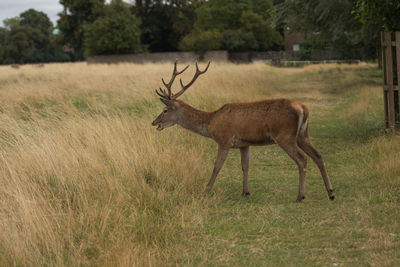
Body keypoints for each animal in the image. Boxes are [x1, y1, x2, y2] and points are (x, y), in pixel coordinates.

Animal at [152, 61, 336, 203]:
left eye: (165, 110)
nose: (154, 122)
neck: (211, 123)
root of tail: (303, 108)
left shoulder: (224, 140)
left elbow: (217, 166)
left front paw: (206, 190)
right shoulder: (244, 144)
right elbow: (245, 166)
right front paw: (245, 192)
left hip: (285, 136)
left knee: (302, 159)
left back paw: (300, 196)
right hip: (303, 134)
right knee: (318, 156)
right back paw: (331, 193)